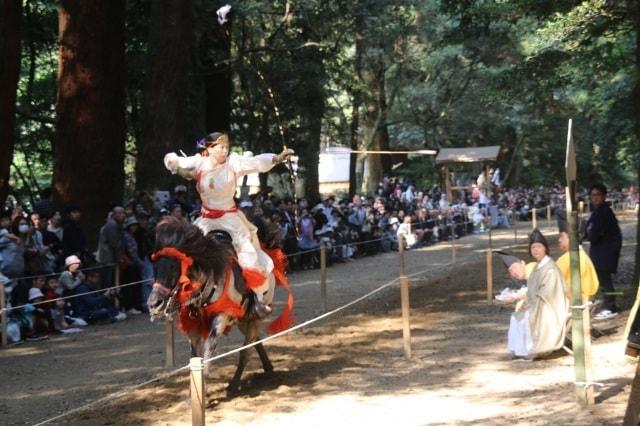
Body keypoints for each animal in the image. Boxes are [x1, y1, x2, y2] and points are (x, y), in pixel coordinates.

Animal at [148, 216, 292, 392]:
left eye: (173, 266)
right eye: (155, 267)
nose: (153, 304)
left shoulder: (222, 316)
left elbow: (208, 352)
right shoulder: (193, 323)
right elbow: (195, 357)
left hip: (255, 315)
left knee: (247, 350)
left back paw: (235, 384)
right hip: (243, 319)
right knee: (254, 341)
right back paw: (268, 368)